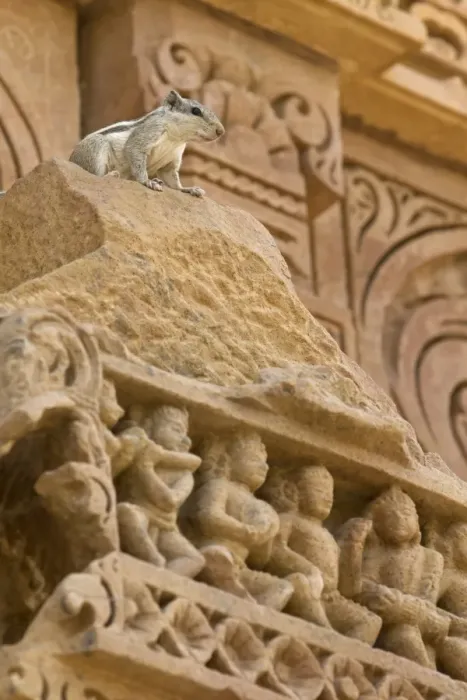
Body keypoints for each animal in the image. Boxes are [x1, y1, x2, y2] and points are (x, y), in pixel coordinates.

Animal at [69, 89, 224, 197]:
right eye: (196, 111)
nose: (221, 131)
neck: (175, 138)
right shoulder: (147, 134)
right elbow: (135, 153)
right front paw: (147, 181)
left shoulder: (171, 160)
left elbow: (173, 180)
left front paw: (187, 189)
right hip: (96, 147)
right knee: (95, 175)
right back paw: (111, 175)